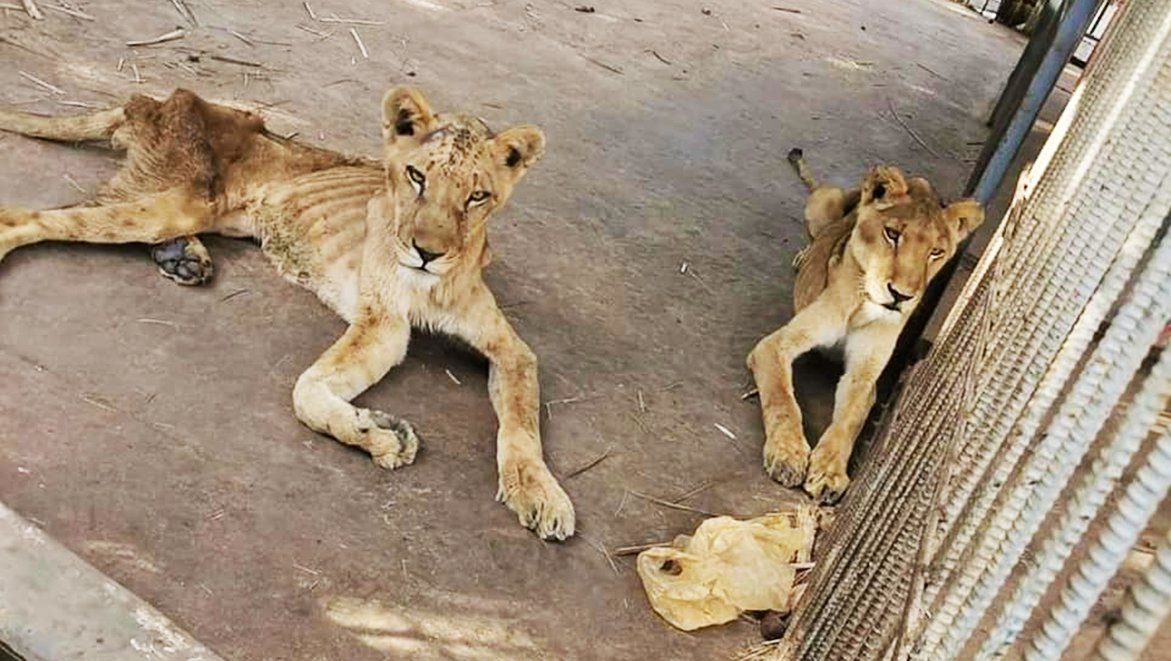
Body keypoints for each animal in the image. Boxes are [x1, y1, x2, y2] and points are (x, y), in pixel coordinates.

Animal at [0, 87, 575, 540]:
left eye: (477, 196)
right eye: (415, 177)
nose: (426, 253)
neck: (432, 282)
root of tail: (160, 99)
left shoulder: (510, 351)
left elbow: (521, 422)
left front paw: (541, 494)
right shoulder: (383, 325)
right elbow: (306, 392)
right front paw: (380, 434)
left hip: (203, 212)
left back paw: (183, 257)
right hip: (179, 200)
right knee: (25, 217)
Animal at [747, 149, 984, 504]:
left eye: (936, 252)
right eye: (892, 234)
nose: (901, 296)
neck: (863, 304)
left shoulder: (864, 375)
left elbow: (849, 419)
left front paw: (829, 472)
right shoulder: (774, 346)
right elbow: (782, 399)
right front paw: (788, 455)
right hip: (825, 202)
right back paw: (803, 255)